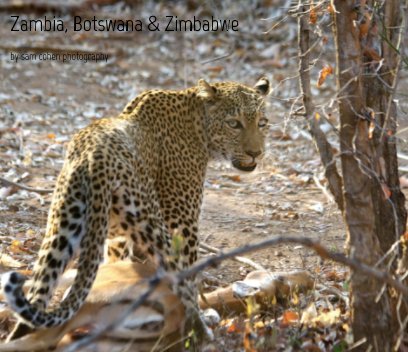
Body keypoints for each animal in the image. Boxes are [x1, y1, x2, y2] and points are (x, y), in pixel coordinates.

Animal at [2, 77, 270, 340]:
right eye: (233, 124)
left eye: (262, 123)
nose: (255, 153)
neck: (198, 126)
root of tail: (95, 157)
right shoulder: (182, 222)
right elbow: (191, 275)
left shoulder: (117, 238)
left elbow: (116, 261)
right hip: (153, 224)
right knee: (181, 283)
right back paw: (200, 330)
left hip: (63, 228)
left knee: (35, 301)